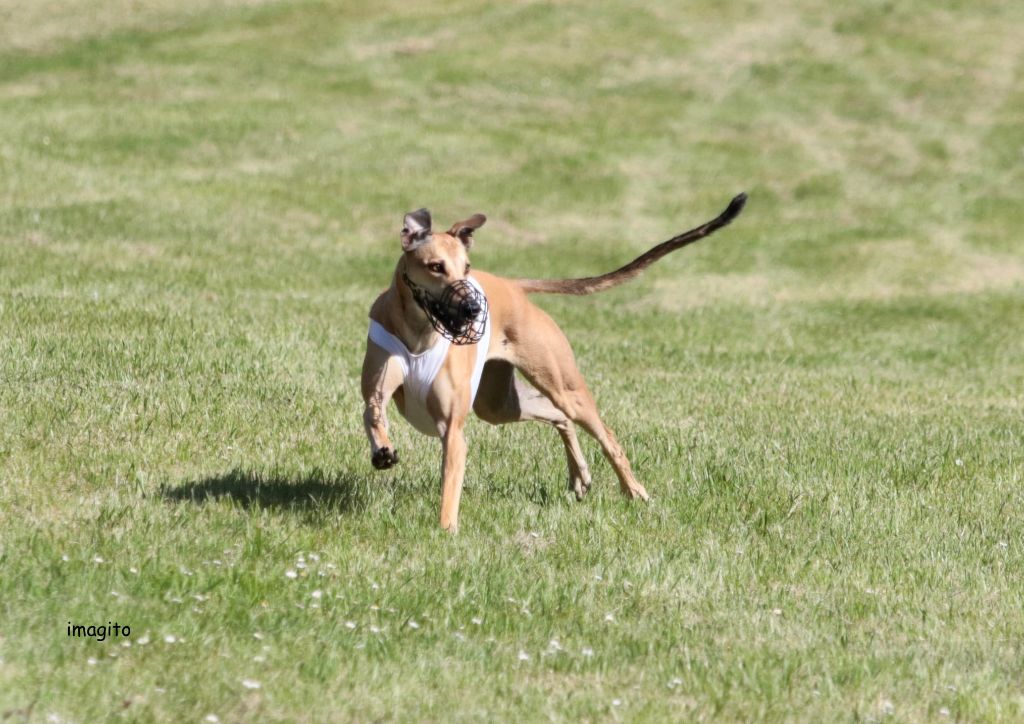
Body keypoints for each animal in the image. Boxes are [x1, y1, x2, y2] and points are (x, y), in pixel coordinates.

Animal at [364, 192, 749, 532]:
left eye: (466, 267)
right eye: (435, 267)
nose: (473, 309)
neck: (419, 334)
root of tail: (514, 286)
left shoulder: (453, 429)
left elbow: (449, 485)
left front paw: (446, 531)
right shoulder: (379, 387)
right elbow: (372, 412)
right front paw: (383, 450)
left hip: (562, 385)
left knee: (603, 434)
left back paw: (634, 490)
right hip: (497, 403)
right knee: (557, 415)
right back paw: (579, 475)